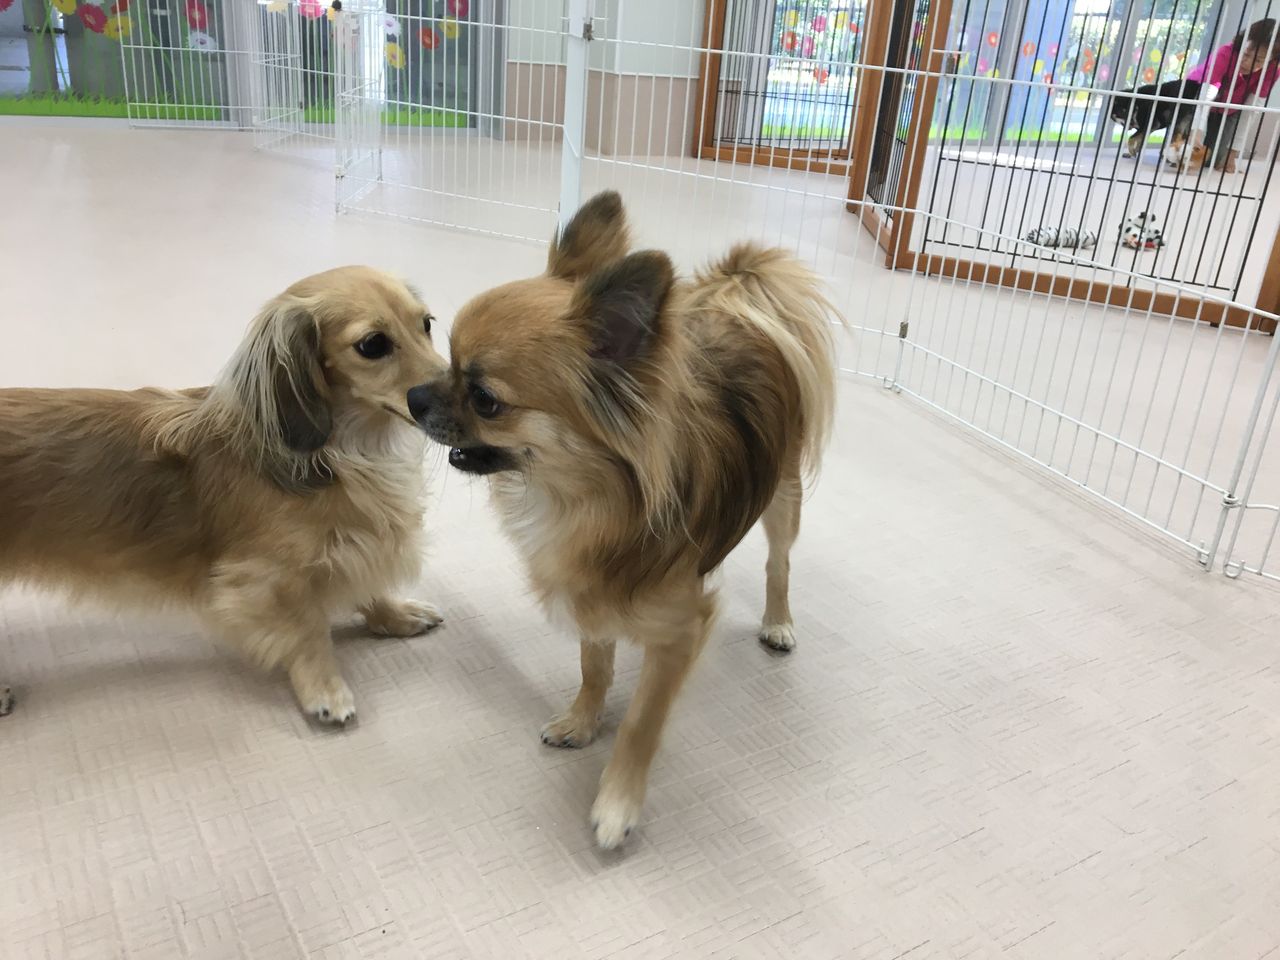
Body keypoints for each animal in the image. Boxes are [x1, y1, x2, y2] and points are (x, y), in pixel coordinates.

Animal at [0, 266, 447, 723]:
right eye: (373, 345)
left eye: (426, 324)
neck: (346, 451)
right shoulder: (269, 578)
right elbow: (309, 631)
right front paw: (325, 690)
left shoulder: (360, 544)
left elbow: (367, 586)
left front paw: (393, 616)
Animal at [407, 191, 839, 848]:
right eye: (446, 360)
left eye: (485, 399)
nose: (412, 398)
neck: (579, 502)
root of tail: (737, 296)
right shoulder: (590, 595)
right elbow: (593, 666)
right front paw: (583, 722)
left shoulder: (681, 631)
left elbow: (642, 722)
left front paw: (617, 803)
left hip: (783, 497)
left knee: (779, 561)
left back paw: (779, 622)